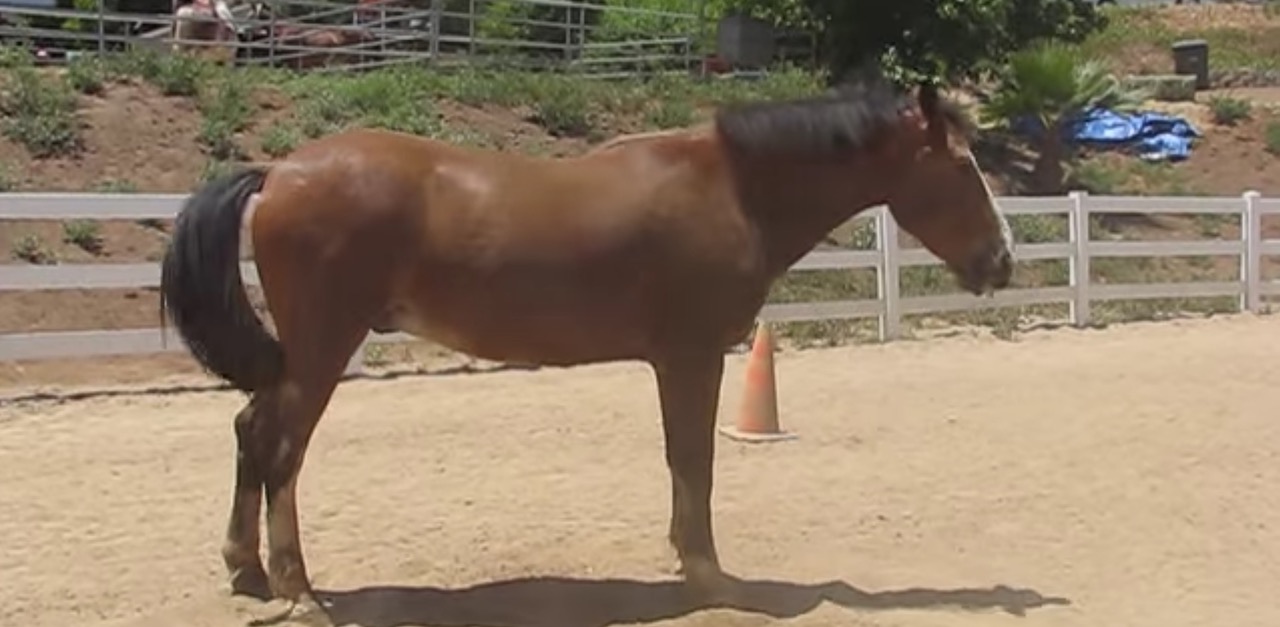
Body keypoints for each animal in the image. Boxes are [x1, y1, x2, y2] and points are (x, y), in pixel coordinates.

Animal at [158, 71, 1015, 625]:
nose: (1001, 260)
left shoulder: (677, 360)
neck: (732, 190)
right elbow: (694, 460)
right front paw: (708, 575)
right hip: (323, 348)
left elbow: (682, 461)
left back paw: (248, 570)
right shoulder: (692, 356)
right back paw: (298, 589)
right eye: (962, 165)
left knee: (250, 432)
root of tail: (279, 173)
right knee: (281, 448)